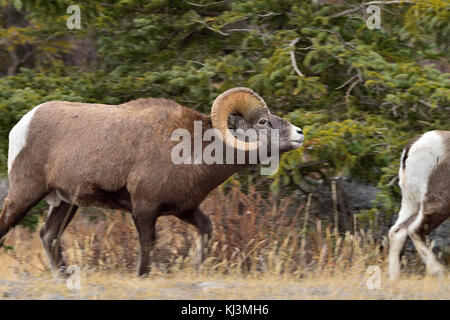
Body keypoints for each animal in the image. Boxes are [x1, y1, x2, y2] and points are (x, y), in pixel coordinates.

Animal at [0, 87, 302, 276]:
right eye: (262, 122)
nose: (299, 133)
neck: (189, 149)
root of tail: (22, 125)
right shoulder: (145, 208)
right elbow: (147, 245)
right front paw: (143, 275)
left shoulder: (185, 210)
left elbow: (206, 230)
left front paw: (197, 267)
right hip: (26, 193)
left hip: (65, 202)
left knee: (49, 236)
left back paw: (64, 277)